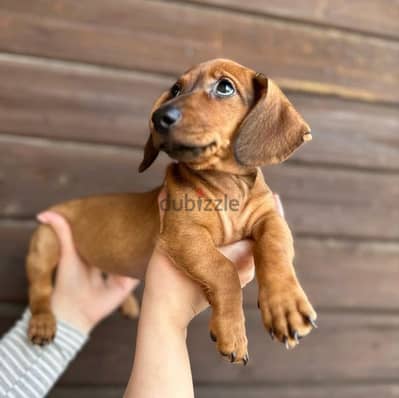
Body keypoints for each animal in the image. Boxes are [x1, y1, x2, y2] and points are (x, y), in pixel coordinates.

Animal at [26, 57, 318, 366]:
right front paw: (232, 330)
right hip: (46, 240)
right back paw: (42, 322)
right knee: (40, 289)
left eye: (225, 87)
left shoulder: (270, 217)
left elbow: (274, 245)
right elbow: (224, 269)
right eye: (176, 89)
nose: (158, 117)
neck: (224, 184)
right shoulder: (183, 232)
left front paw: (284, 305)